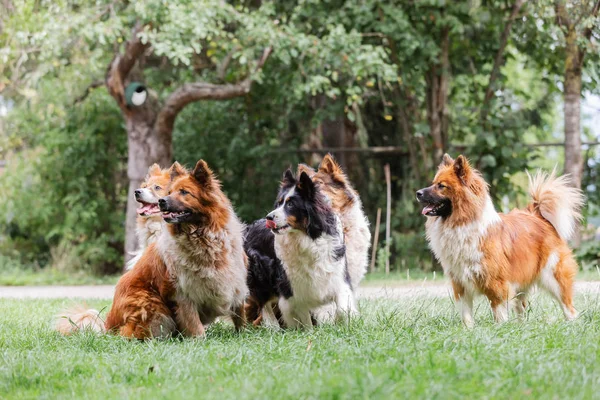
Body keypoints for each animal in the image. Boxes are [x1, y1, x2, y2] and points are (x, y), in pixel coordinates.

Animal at [157, 159, 248, 334]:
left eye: (184, 192)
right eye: (169, 192)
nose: (161, 201)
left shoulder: (236, 280)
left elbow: (240, 314)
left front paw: (245, 332)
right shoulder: (183, 291)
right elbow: (194, 323)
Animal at [247, 169, 358, 328]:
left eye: (290, 204)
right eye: (279, 203)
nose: (269, 217)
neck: (307, 238)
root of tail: (249, 228)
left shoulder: (337, 275)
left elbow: (342, 307)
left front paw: (344, 323)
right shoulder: (293, 289)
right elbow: (303, 317)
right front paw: (308, 331)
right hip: (259, 276)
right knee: (264, 304)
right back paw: (273, 327)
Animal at [418, 155, 580, 326]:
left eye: (441, 186)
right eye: (433, 183)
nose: (418, 193)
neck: (462, 223)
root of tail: (538, 216)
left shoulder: (496, 284)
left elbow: (499, 312)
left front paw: (501, 328)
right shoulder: (460, 283)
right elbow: (466, 314)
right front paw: (469, 330)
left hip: (553, 276)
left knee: (568, 307)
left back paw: (571, 324)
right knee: (521, 307)